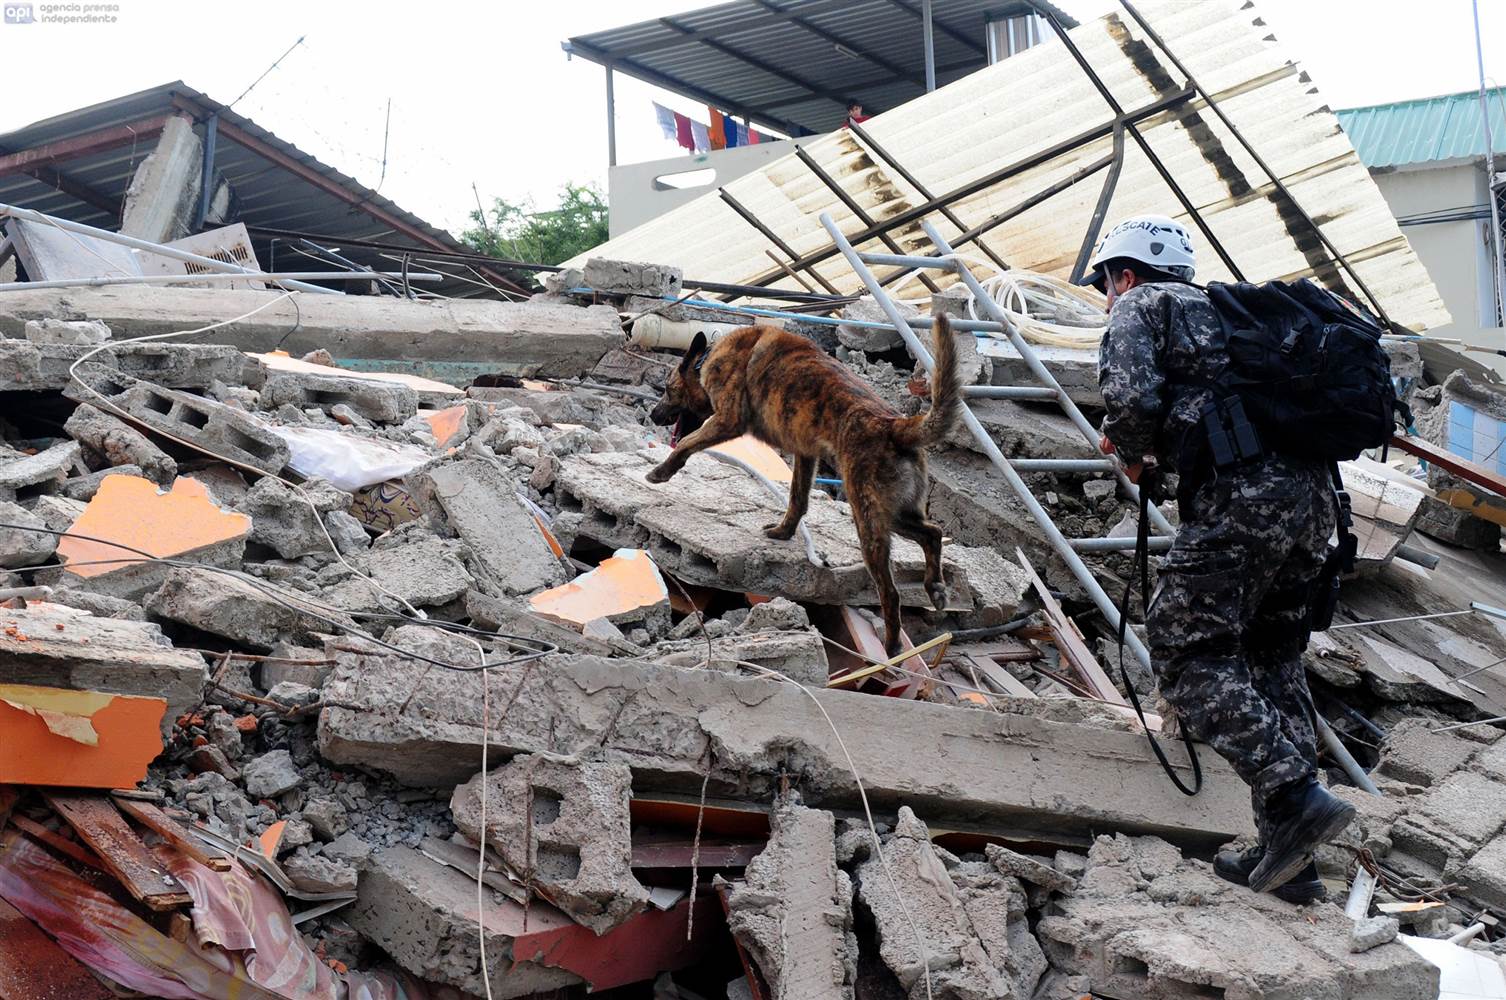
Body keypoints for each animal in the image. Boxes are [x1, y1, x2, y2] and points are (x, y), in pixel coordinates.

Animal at [641, 316, 957, 653]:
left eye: (667, 389)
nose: (653, 414)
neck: (707, 359)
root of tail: (895, 426)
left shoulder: (727, 421)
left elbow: (687, 442)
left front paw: (662, 471)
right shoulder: (806, 455)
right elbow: (797, 499)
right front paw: (783, 532)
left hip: (868, 520)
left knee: (891, 591)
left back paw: (893, 645)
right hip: (892, 514)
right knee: (932, 533)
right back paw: (935, 588)